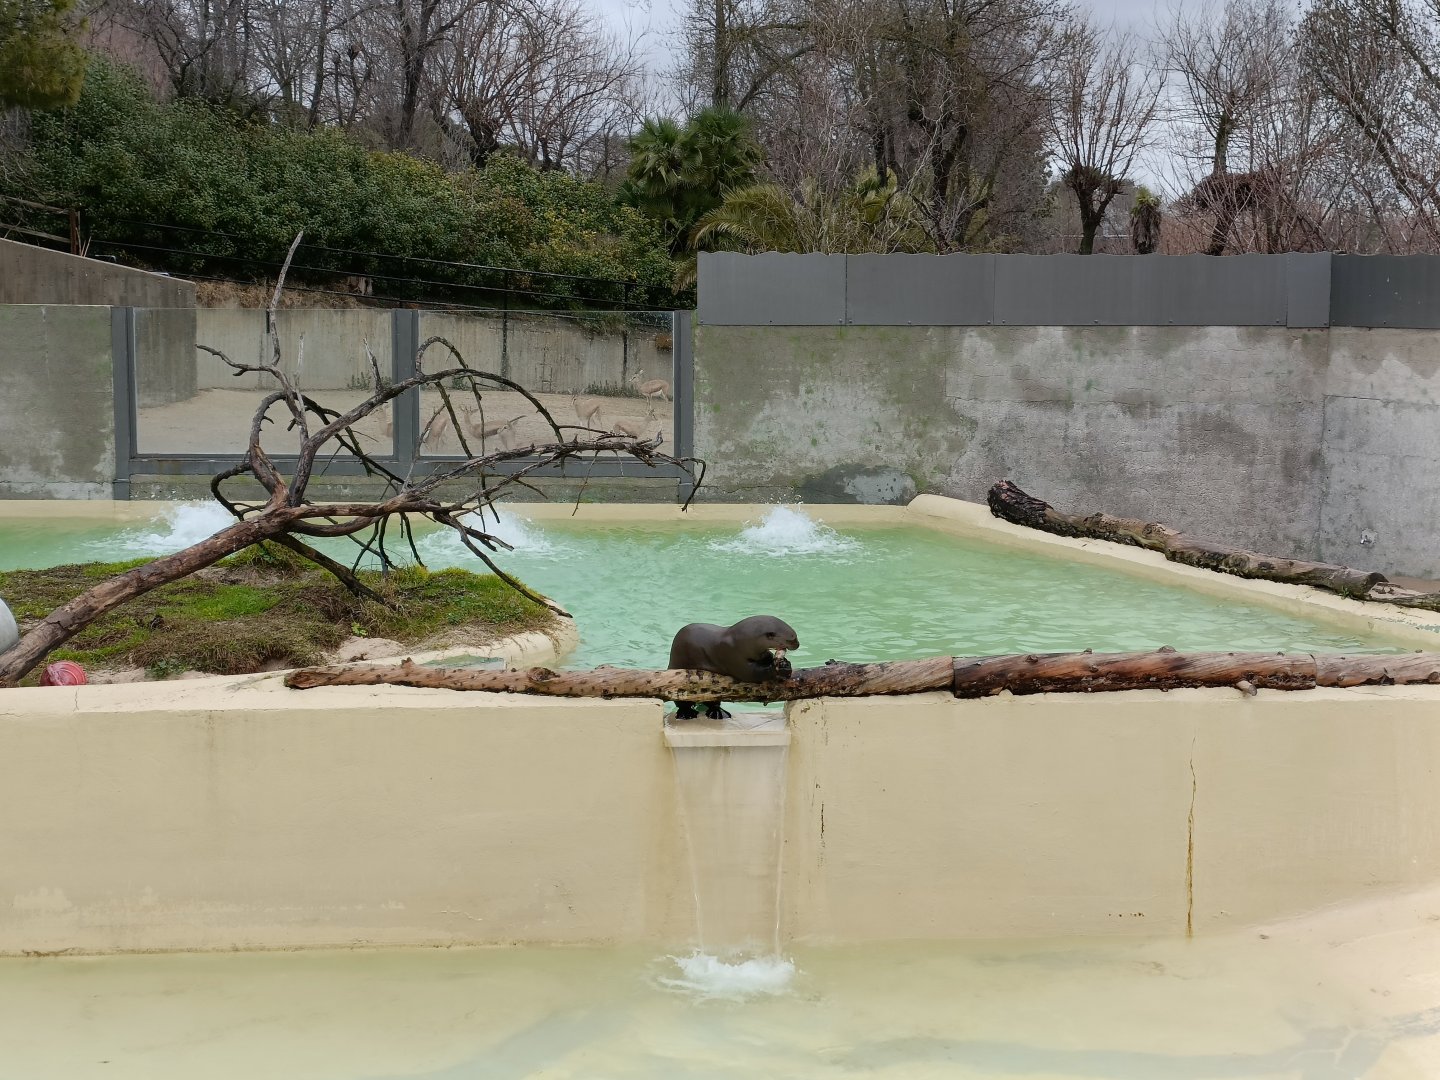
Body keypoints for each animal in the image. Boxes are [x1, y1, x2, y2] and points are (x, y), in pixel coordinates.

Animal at [668, 615, 799, 720]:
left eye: (796, 637)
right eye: (792, 639)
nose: (797, 644)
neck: (741, 641)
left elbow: (767, 656)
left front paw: (785, 663)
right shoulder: (733, 656)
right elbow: (752, 674)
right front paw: (778, 669)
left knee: (713, 702)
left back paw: (718, 713)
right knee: (681, 703)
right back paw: (687, 714)